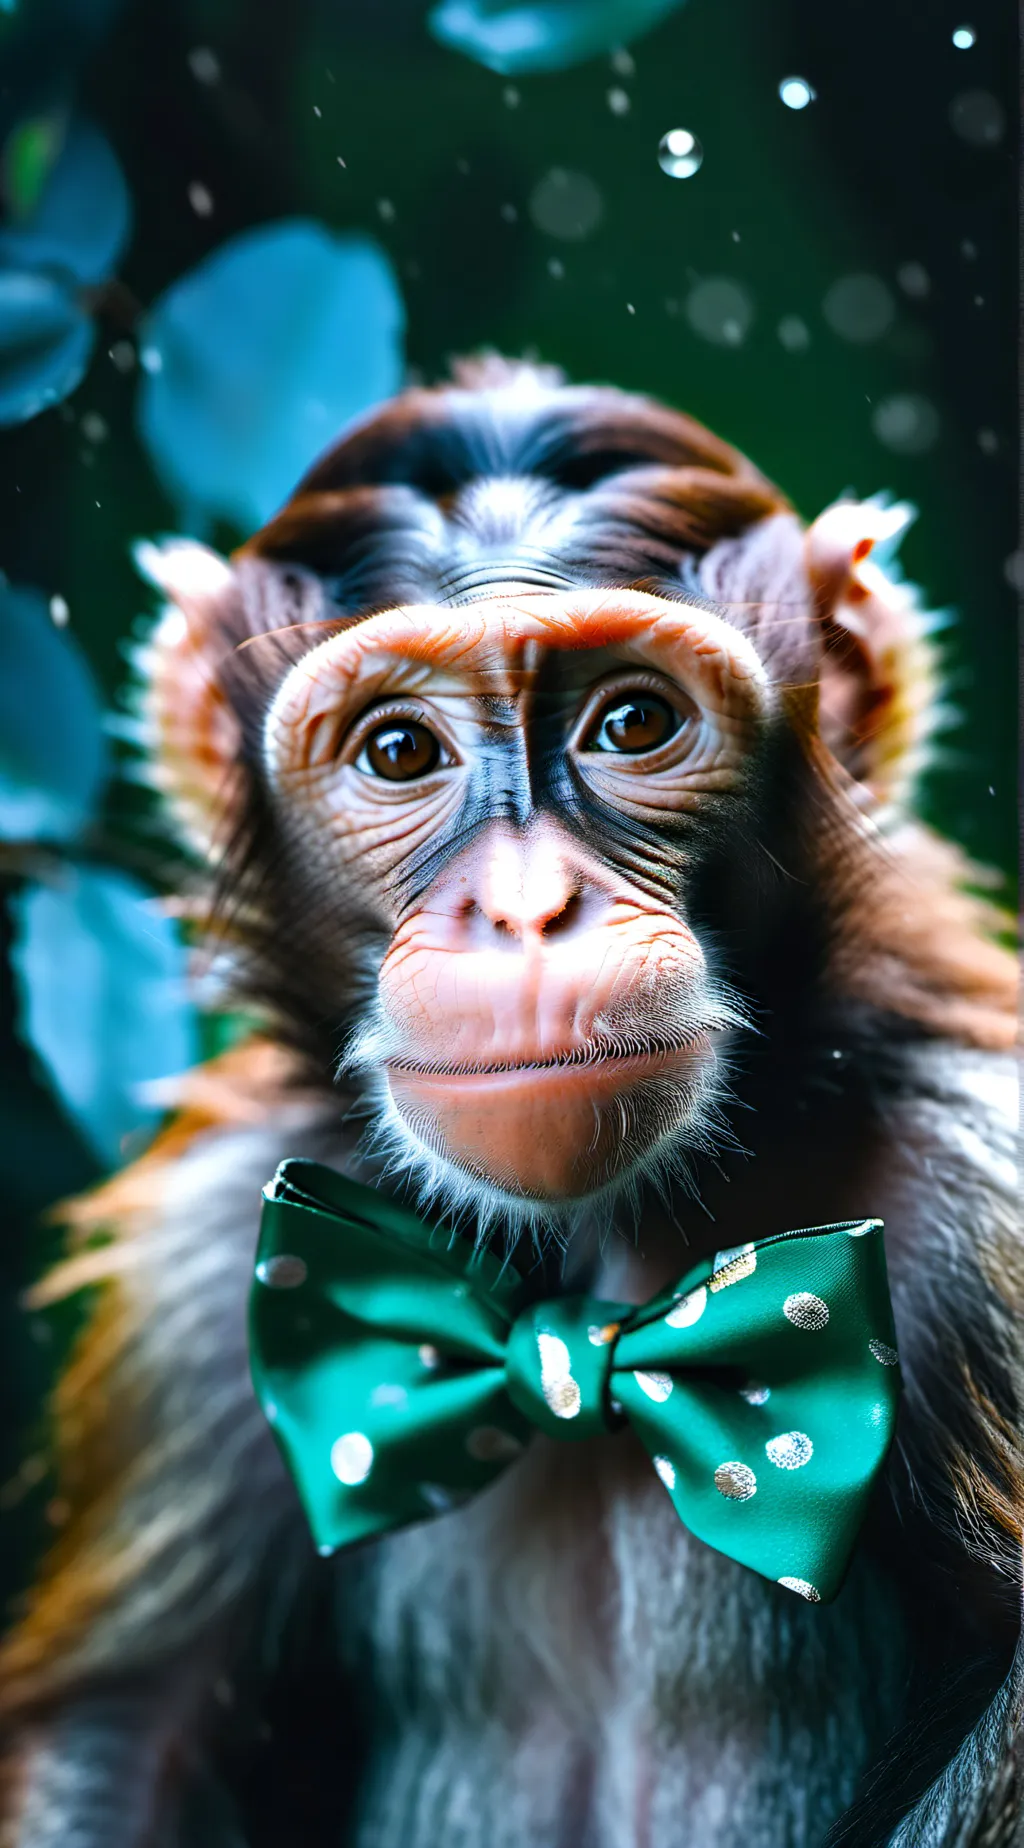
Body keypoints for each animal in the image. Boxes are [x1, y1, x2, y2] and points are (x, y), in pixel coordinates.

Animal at [0, 356, 1020, 1848]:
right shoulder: (196, 1284)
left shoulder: (988, 1192)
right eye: (399, 752)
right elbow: (120, 1746)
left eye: (635, 722)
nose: (528, 908)